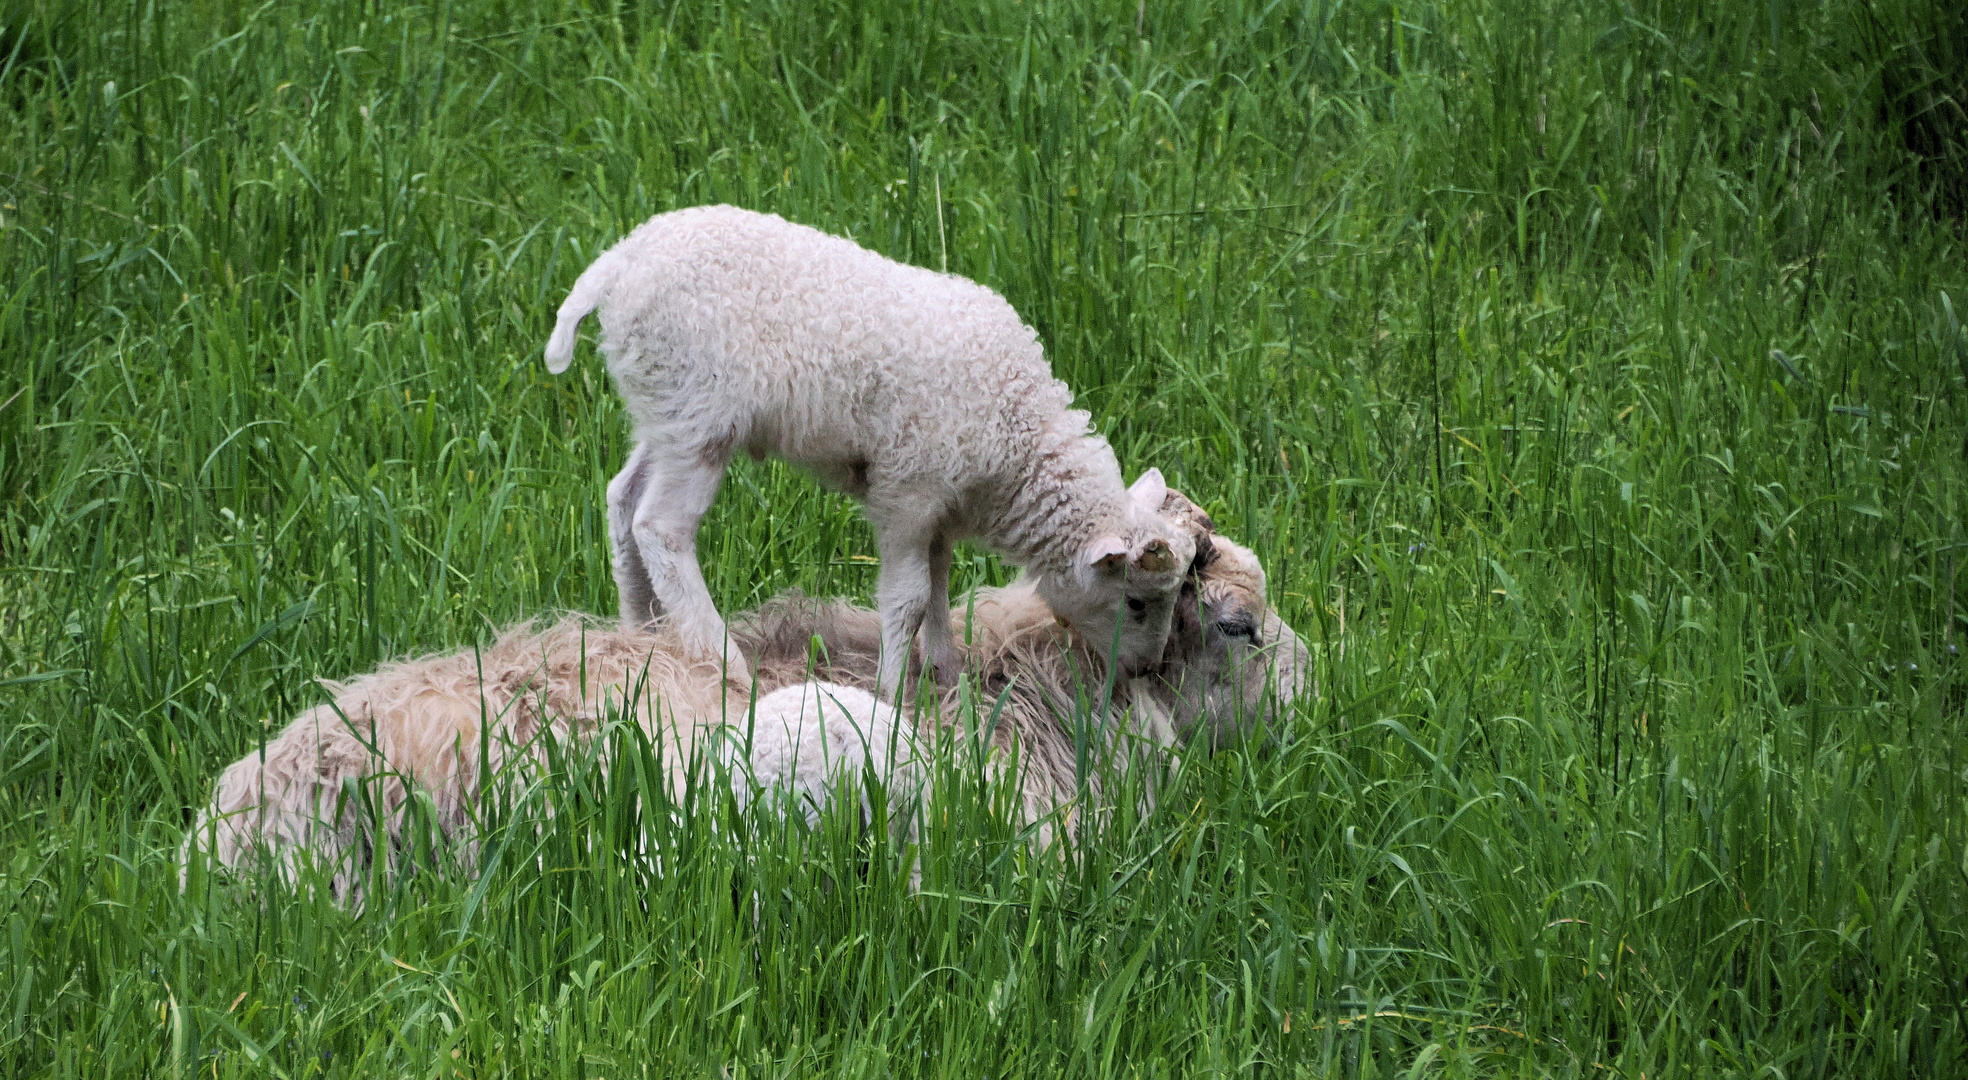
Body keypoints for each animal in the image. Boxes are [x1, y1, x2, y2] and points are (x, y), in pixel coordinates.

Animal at [539, 203, 1188, 692]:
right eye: (1135, 603)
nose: (1146, 670)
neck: (1017, 436)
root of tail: (617, 263)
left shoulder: (939, 504)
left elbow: (940, 580)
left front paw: (946, 670)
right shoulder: (907, 490)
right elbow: (908, 597)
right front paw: (892, 691)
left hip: (663, 411)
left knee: (623, 498)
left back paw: (642, 636)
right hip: (698, 415)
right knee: (662, 527)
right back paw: (725, 663)